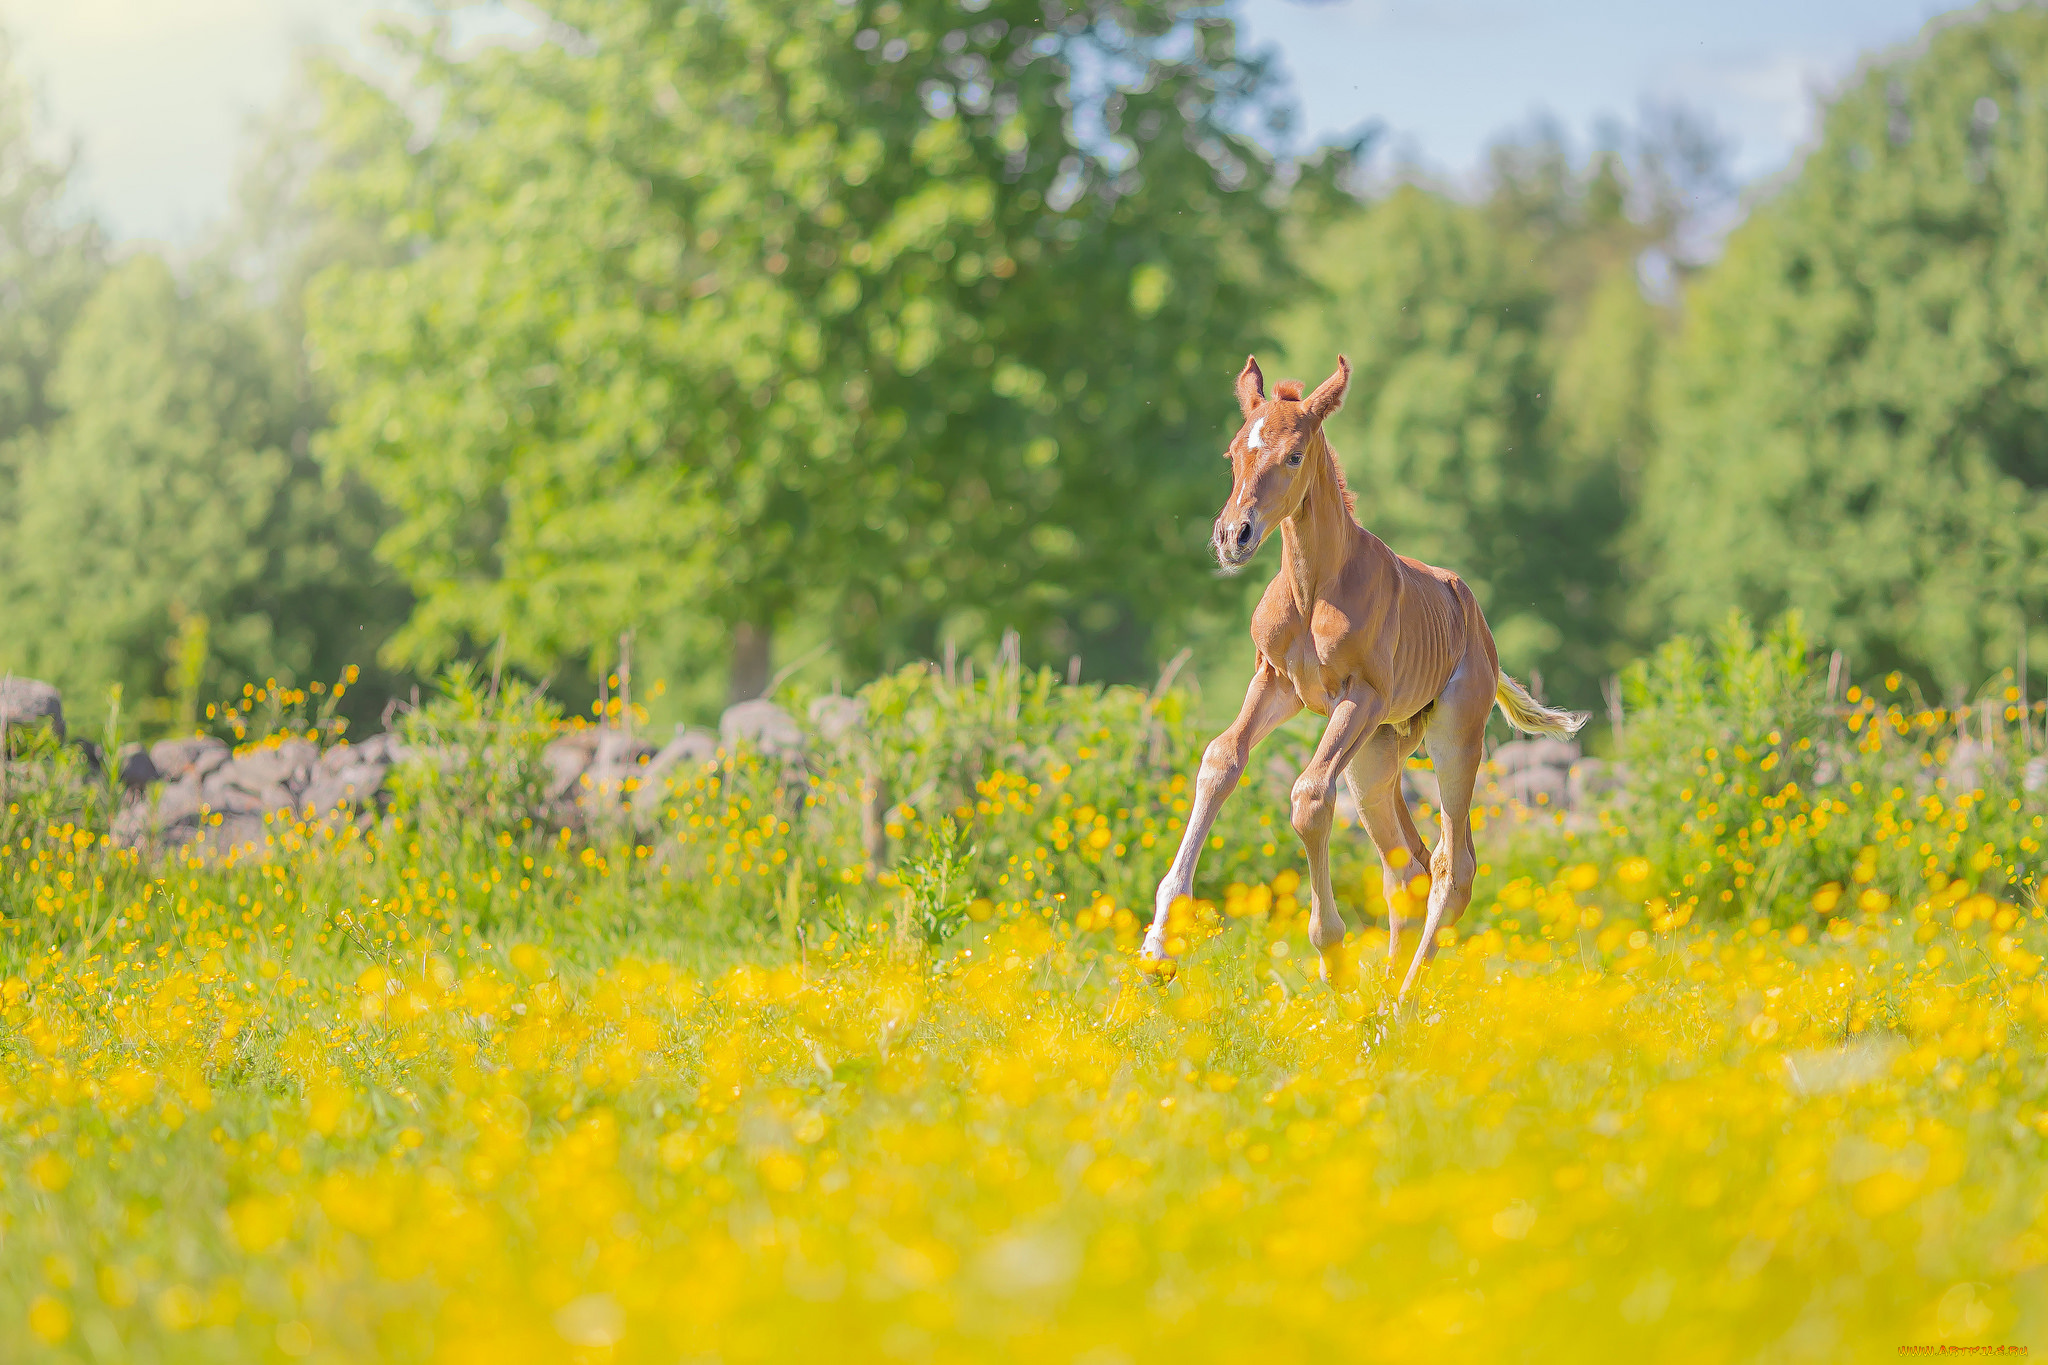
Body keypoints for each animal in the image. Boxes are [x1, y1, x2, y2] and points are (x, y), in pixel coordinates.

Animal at [1146, 356, 1589, 1002]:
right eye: (1233, 453)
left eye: (1294, 455)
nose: (1234, 536)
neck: (1314, 588)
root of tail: (1480, 630)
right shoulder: (1275, 681)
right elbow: (1220, 760)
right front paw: (1158, 948)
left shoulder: (1360, 695)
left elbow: (1308, 795)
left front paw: (1332, 956)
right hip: (1376, 757)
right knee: (1408, 864)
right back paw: (1381, 999)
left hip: (1453, 738)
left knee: (1453, 867)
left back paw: (1402, 1005)